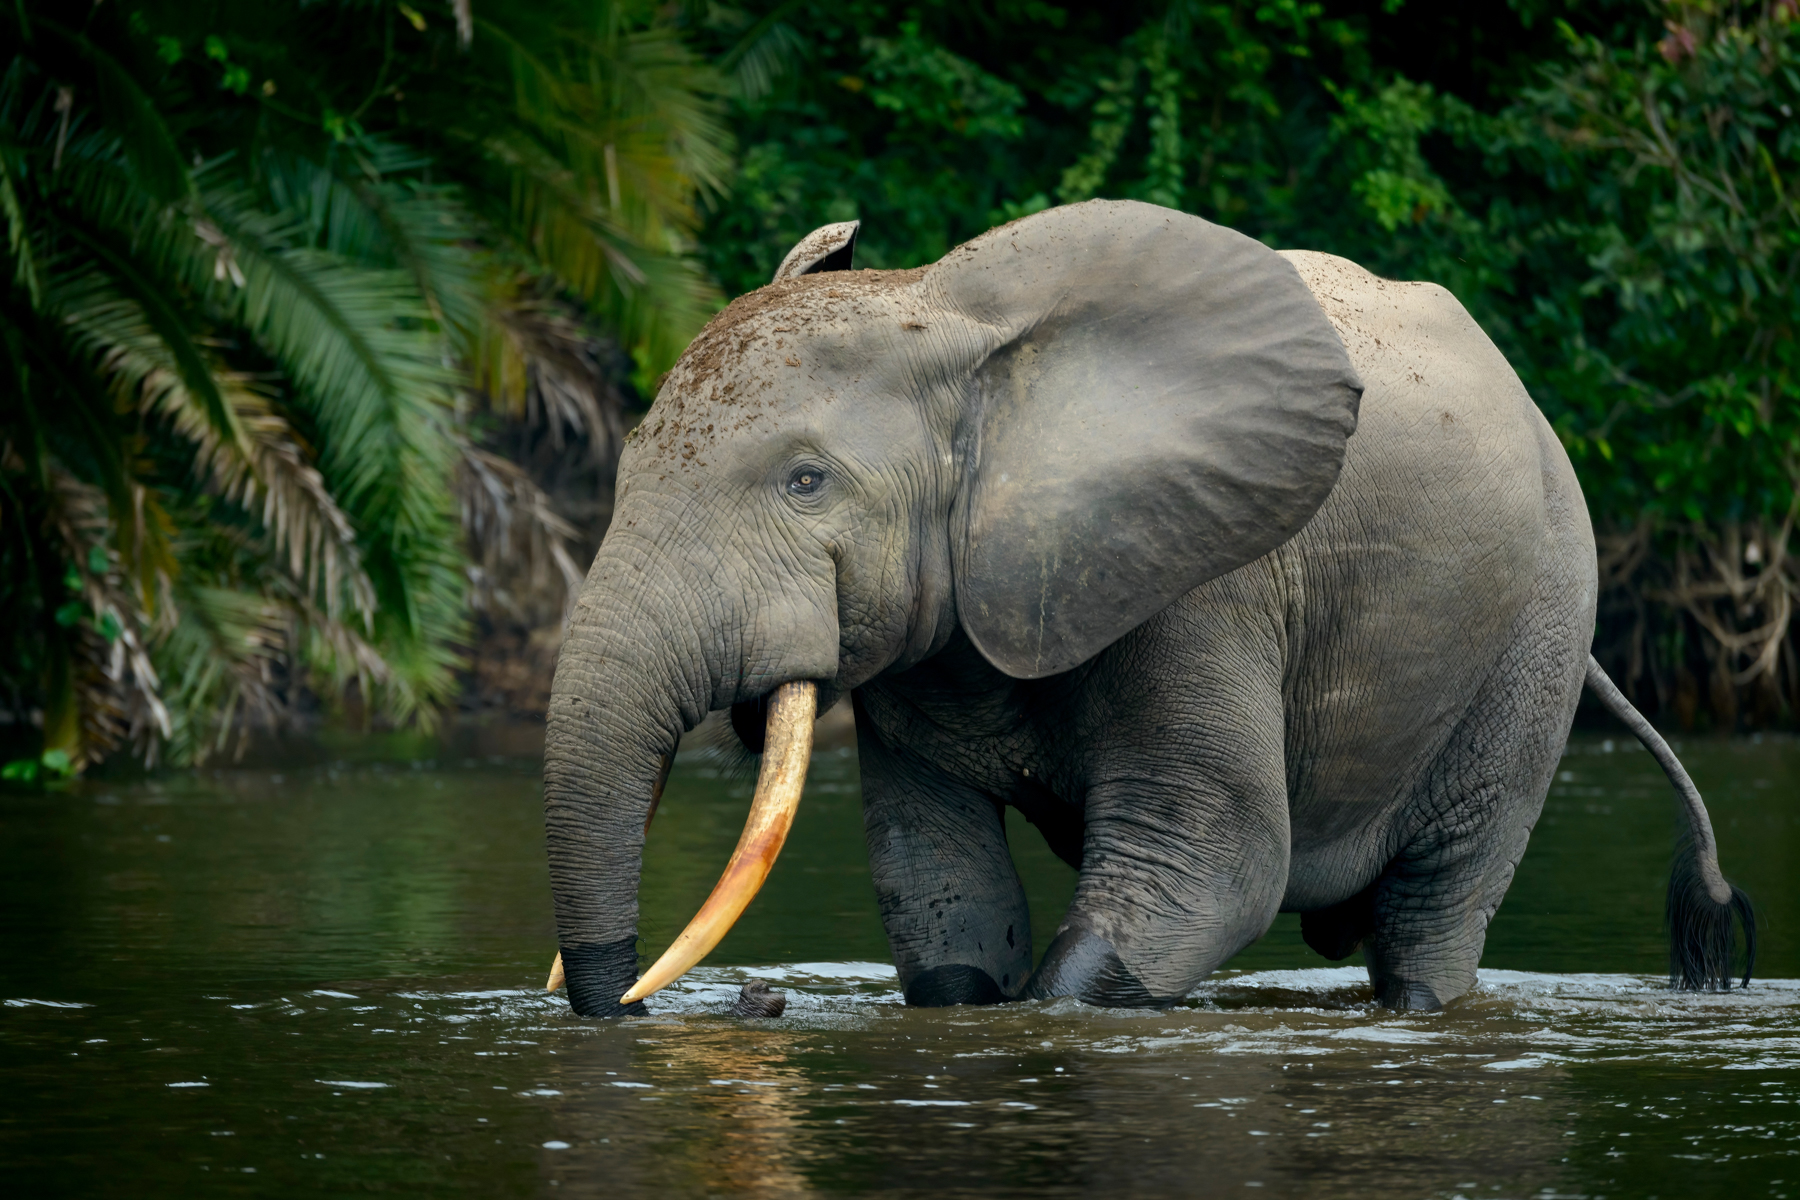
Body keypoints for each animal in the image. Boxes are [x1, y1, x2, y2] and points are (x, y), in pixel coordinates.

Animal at [542, 200, 1754, 1018]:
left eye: (807, 482)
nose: (630, 1005)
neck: (949, 315)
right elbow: (940, 887)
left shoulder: (1206, 580)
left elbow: (1213, 865)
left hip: (1539, 627)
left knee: (1433, 913)